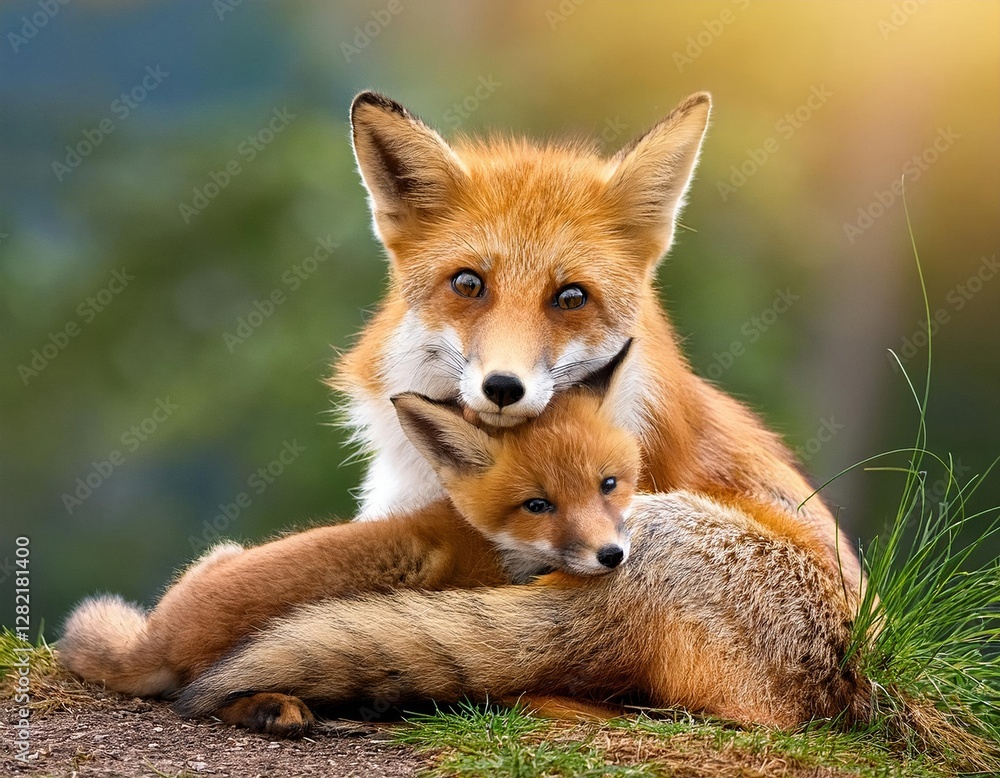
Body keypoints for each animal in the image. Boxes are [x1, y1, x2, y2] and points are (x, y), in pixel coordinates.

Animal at [59, 348, 641, 734]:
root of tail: (157, 632)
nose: (611, 555)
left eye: (608, 484)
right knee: (200, 696)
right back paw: (278, 709)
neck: (490, 543)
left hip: (219, 552)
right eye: (538, 506)